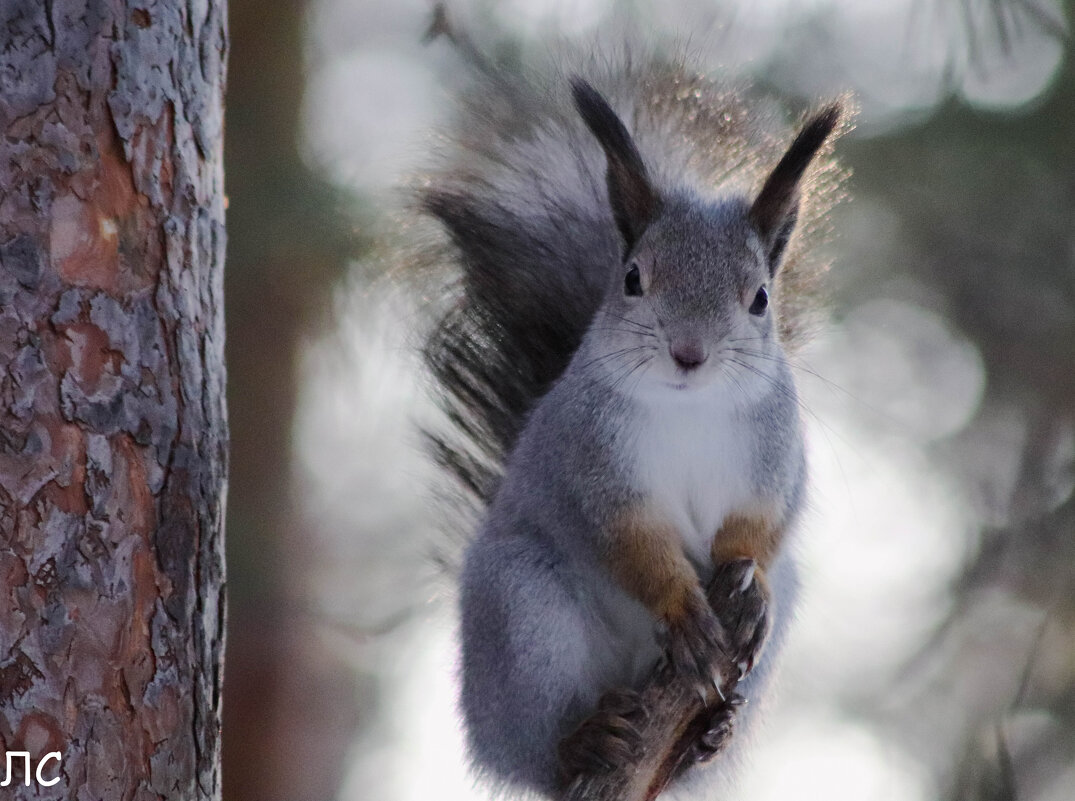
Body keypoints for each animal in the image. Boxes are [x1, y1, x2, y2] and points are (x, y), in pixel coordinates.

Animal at [414, 37, 842, 799]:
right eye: (634, 278)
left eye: (761, 297)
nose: (689, 353)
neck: (691, 408)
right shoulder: (594, 465)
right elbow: (631, 542)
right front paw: (684, 612)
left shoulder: (775, 461)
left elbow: (761, 528)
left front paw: (747, 584)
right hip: (523, 611)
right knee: (536, 749)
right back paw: (584, 739)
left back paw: (705, 734)